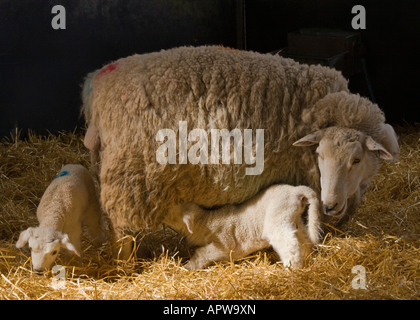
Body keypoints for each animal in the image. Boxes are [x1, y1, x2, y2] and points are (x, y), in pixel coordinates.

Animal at [165, 184, 322, 268]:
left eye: (174, 208)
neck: (206, 222)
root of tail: (296, 191)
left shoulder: (225, 244)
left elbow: (203, 253)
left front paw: (188, 266)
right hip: (294, 219)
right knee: (304, 239)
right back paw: (307, 259)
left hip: (278, 218)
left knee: (290, 245)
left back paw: (292, 269)